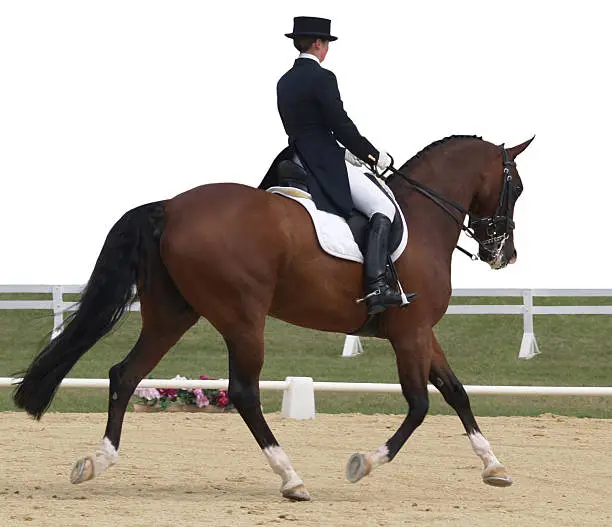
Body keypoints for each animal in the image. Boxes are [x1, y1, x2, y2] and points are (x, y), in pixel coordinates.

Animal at [13, 134, 532, 502]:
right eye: (518, 188)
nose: (503, 255)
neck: (423, 218)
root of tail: (171, 206)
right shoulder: (410, 332)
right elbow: (421, 404)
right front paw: (362, 463)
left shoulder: (421, 331)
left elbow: (456, 391)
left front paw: (495, 467)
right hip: (243, 318)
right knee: (243, 392)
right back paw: (291, 477)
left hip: (172, 315)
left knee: (125, 374)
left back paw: (96, 462)